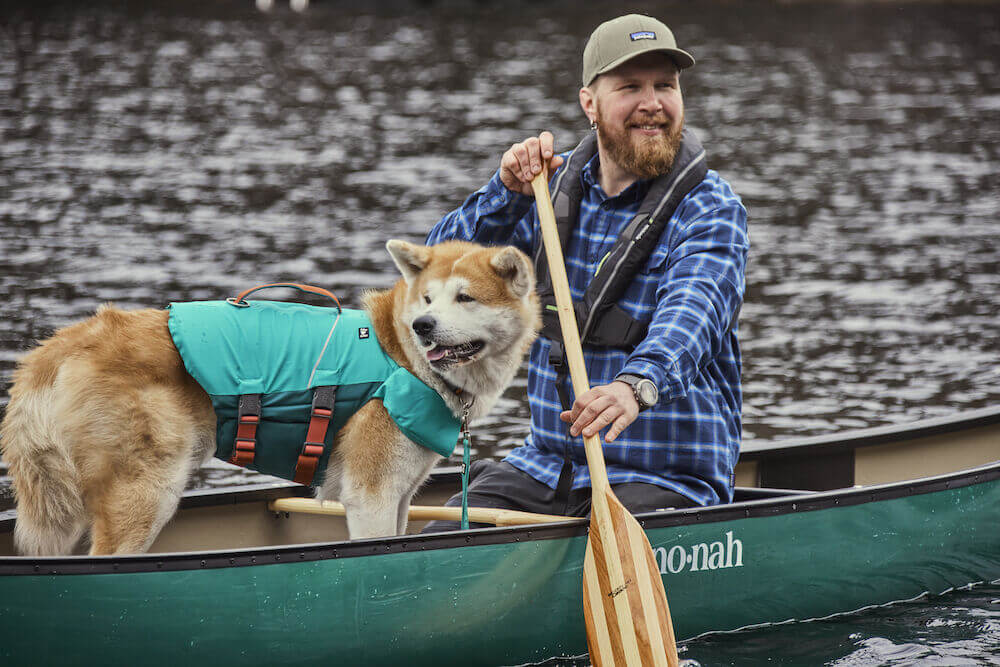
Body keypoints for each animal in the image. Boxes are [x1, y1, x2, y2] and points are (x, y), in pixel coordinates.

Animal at [0, 241, 540, 560]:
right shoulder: (371, 495)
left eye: (465, 298)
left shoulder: (402, 496)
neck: (401, 357)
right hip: (145, 494)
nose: (424, 326)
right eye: (428, 300)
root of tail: (65, 343)